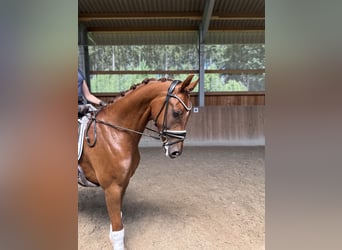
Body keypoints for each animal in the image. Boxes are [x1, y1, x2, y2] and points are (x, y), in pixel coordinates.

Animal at [78, 74, 198, 250]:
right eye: (176, 113)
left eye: (189, 115)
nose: (176, 151)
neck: (116, 133)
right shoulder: (112, 187)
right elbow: (118, 228)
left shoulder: (123, 183)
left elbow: (118, 219)